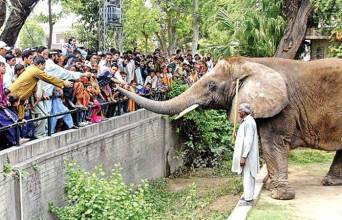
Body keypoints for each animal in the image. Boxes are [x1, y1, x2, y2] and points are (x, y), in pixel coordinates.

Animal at [117, 56, 342, 199]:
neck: (254, 63)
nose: (116, 85)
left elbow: (273, 143)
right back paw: (330, 182)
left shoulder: (284, 108)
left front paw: (279, 195)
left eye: (212, 86)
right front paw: (271, 187)